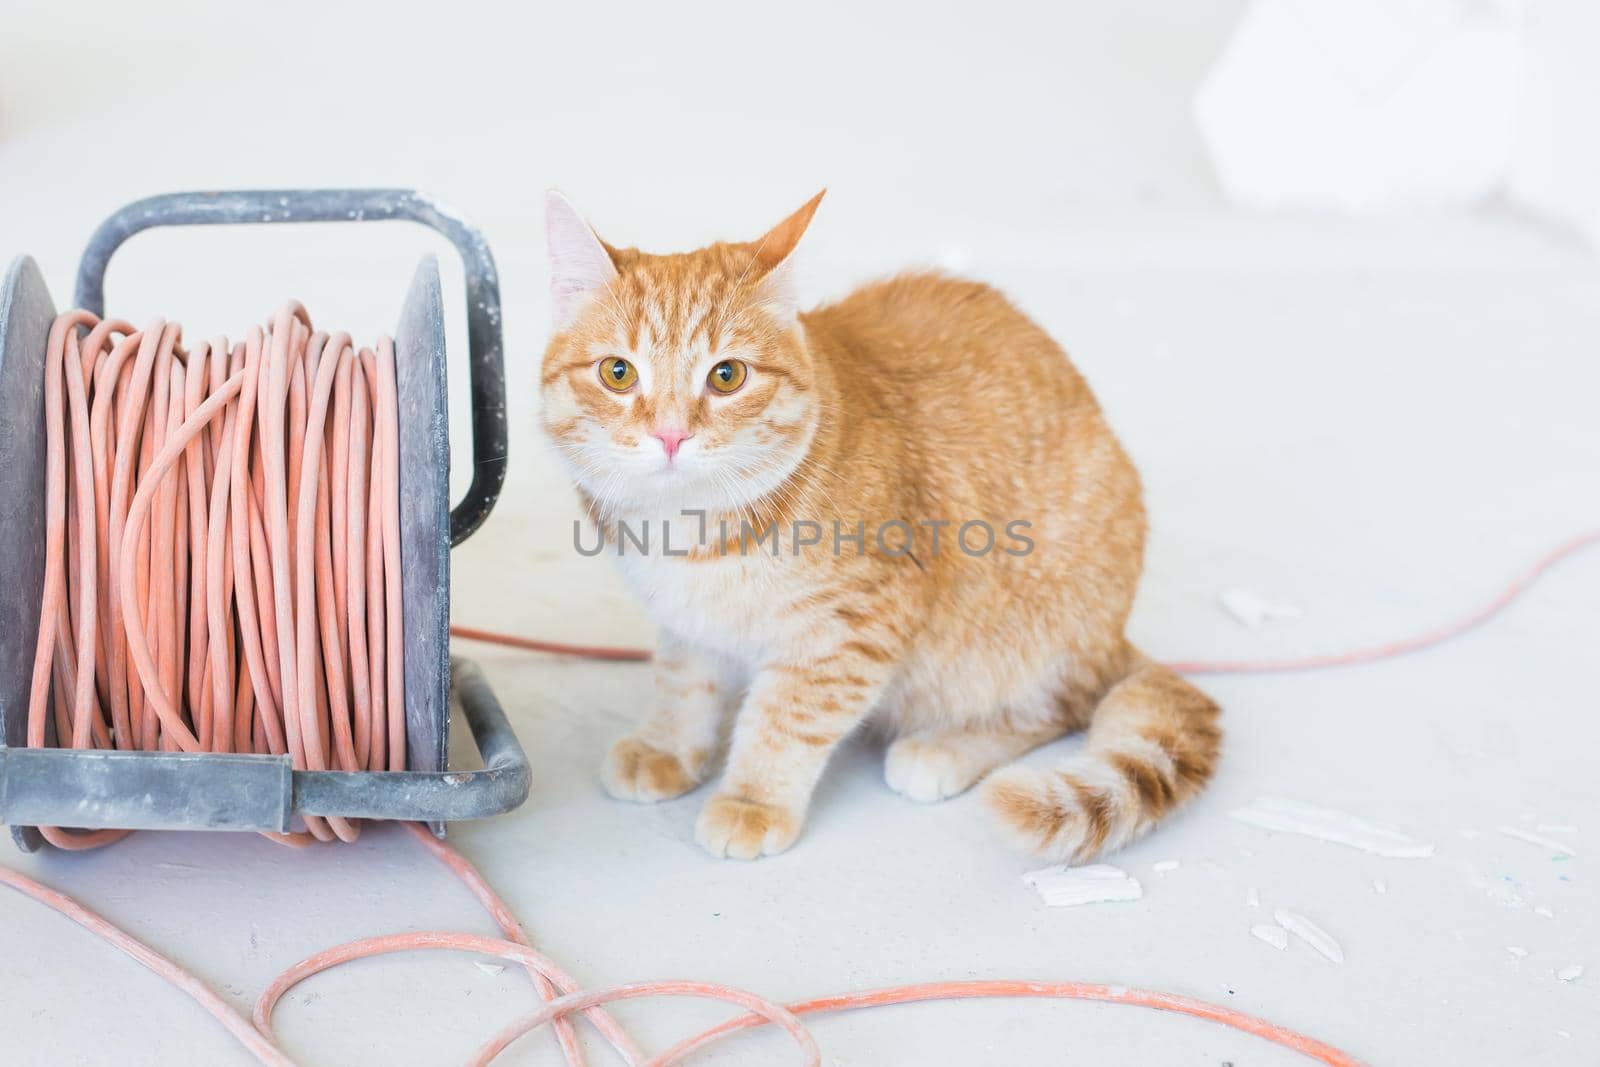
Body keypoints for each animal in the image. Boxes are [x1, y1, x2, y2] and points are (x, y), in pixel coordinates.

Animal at [540, 189, 1222, 857]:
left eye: (727, 375)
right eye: (618, 372)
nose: (671, 434)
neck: (690, 533)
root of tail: (1114, 638)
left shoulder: (850, 629)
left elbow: (786, 719)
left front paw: (753, 800)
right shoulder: (690, 625)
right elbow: (684, 684)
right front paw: (668, 747)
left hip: (1031, 633)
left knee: (1057, 706)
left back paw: (944, 748)